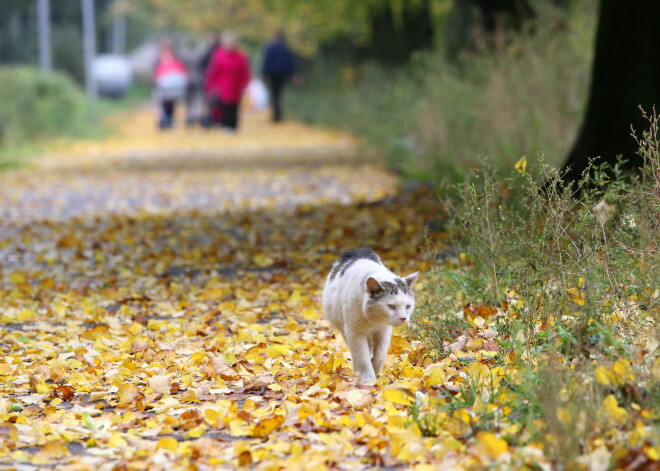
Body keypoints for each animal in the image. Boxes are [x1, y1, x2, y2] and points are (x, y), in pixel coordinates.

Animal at [324, 249, 420, 386]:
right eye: (391, 306)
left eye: (408, 306)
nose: (403, 318)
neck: (373, 319)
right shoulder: (354, 332)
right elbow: (362, 357)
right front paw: (368, 381)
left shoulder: (384, 331)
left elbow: (380, 355)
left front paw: (375, 369)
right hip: (343, 327)